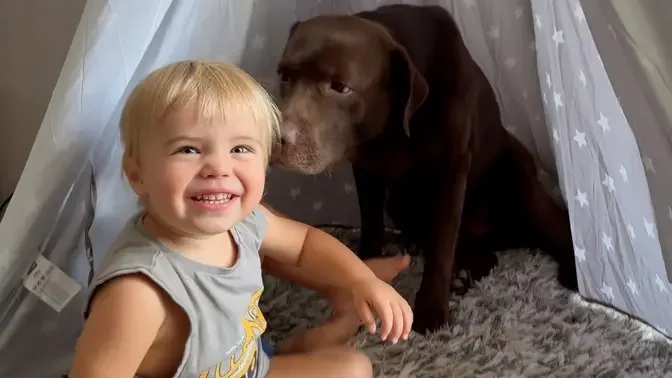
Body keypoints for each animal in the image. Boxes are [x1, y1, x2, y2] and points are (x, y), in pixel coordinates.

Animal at [270, 3, 580, 334]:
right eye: (284, 76)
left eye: (340, 87)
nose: (277, 137)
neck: (397, 128)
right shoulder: (366, 171)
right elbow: (371, 223)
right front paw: (366, 274)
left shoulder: (452, 170)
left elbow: (442, 246)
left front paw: (431, 311)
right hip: (401, 203)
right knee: (481, 252)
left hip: (520, 181)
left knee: (553, 223)